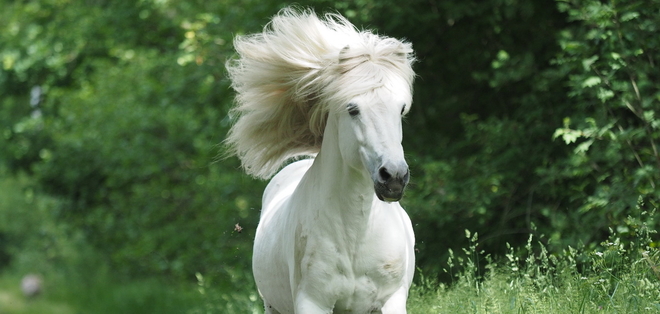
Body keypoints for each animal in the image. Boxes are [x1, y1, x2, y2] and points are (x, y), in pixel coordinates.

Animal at [224, 7, 416, 314]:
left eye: (401, 108)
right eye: (353, 109)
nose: (394, 177)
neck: (357, 233)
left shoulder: (391, 300)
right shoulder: (312, 302)